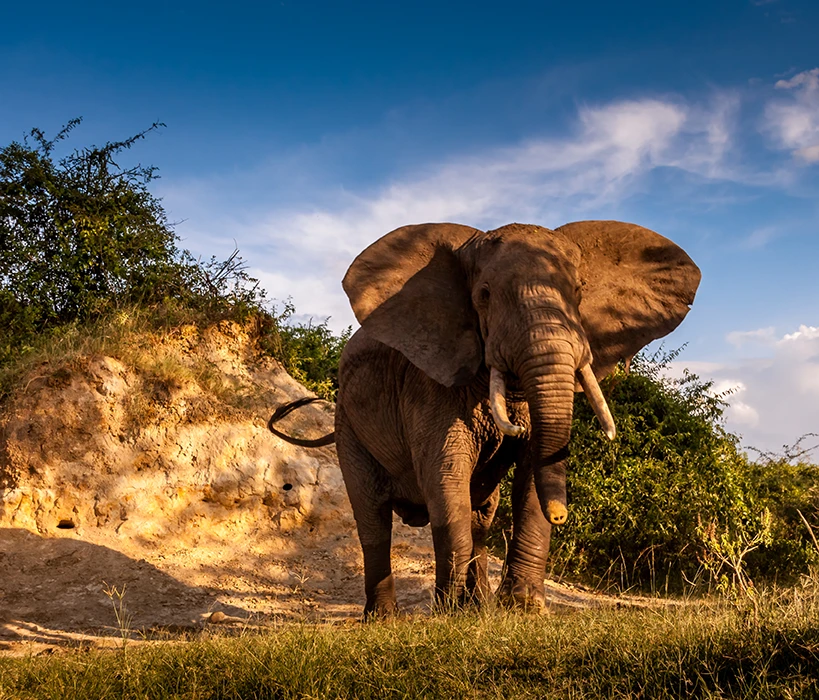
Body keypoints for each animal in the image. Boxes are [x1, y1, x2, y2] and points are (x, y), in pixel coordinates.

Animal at [269, 220, 700, 617]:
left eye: (579, 292)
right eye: (484, 296)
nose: (563, 515)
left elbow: (529, 477)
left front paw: (524, 608)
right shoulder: (429, 381)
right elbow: (446, 477)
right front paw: (448, 613)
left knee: (481, 516)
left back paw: (479, 607)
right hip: (349, 428)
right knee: (373, 519)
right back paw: (386, 619)